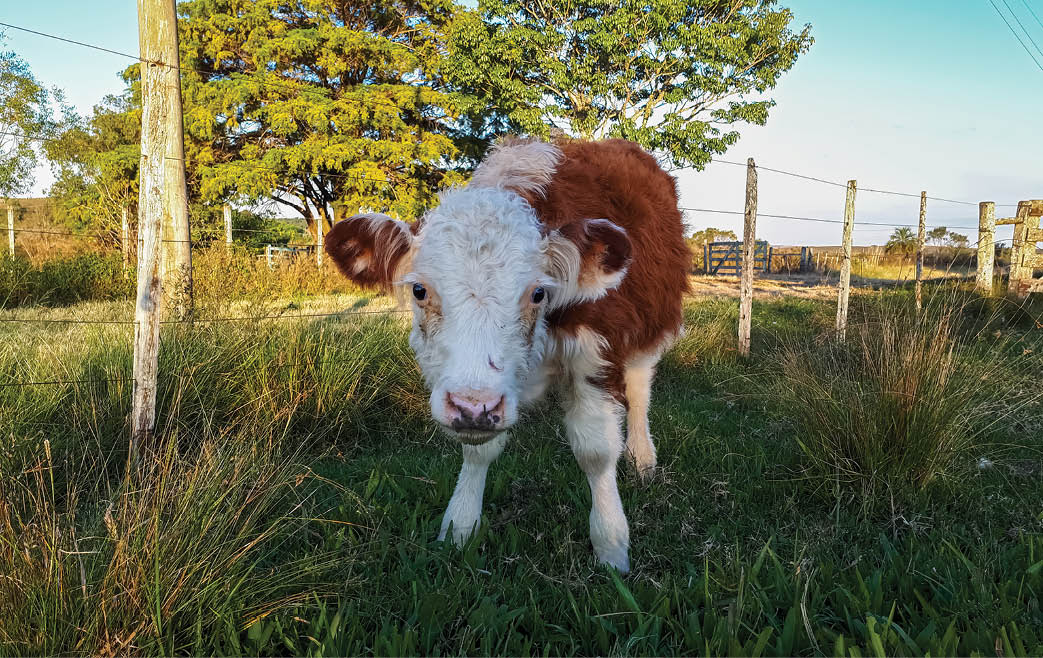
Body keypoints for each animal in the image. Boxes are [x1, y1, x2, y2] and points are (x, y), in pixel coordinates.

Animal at [324, 138, 690, 572]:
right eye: (419, 290)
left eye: (538, 293)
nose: (473, 407)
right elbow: (477, 451)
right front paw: (460, 526)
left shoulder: (596, 354)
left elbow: (597, 451)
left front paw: (611, 543)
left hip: (651, 329)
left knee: (639, 392)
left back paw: (643, 457)